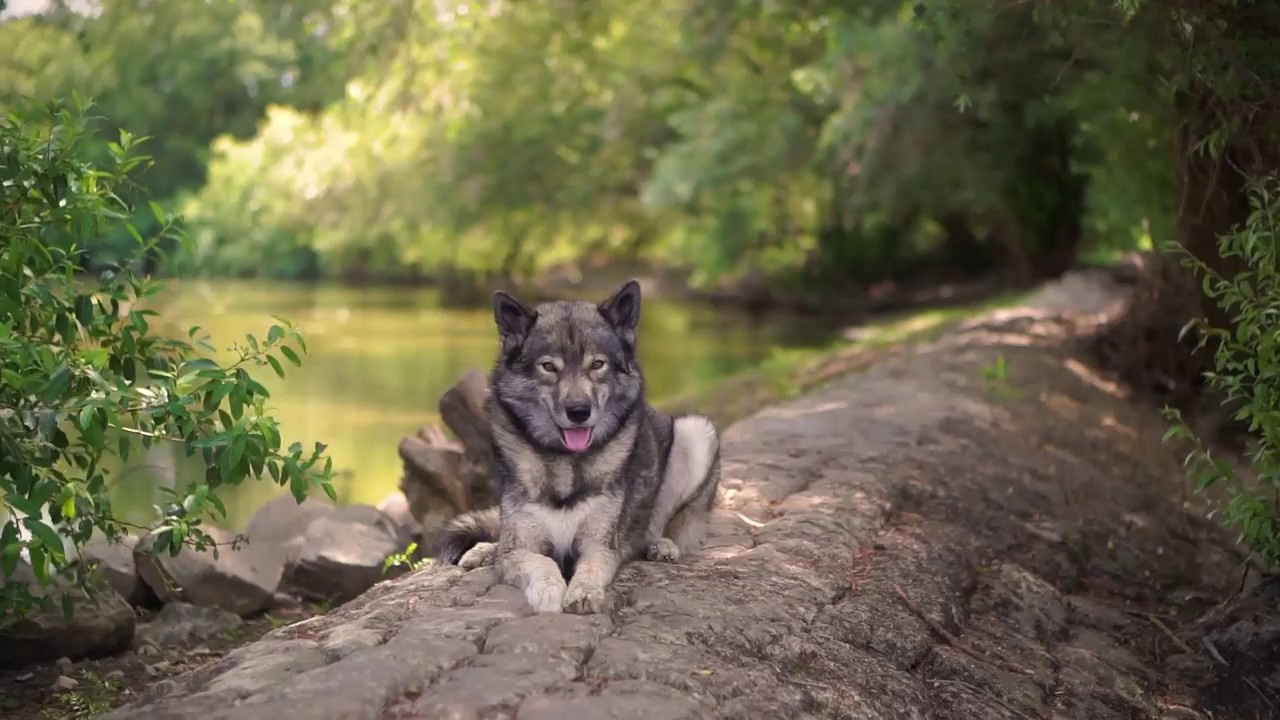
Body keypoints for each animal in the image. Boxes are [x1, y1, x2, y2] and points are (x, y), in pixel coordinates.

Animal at [432, 279, 721, 609]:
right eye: (548, 366)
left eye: (597, 364)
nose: (579, 411)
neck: (565, 462)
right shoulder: (520, 548)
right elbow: (538, 561)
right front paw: (549, 591)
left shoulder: (599, 545)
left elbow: (592, 567)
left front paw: (583, 592)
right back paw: (481, 551)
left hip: (696, 431)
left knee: (663, 525)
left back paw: (661, 544)